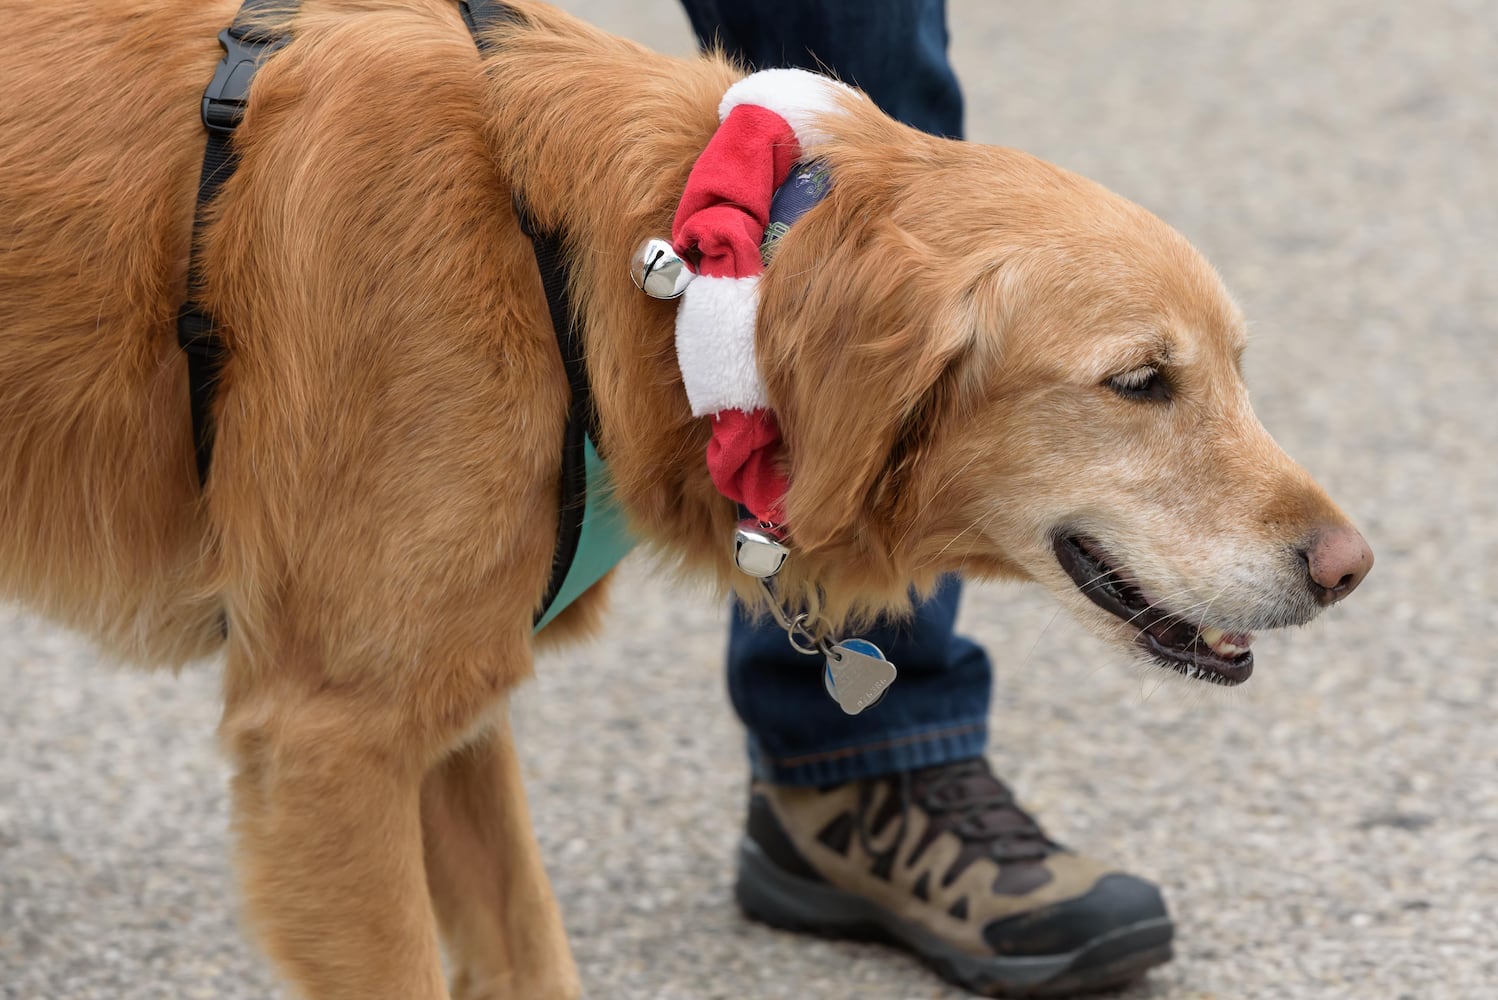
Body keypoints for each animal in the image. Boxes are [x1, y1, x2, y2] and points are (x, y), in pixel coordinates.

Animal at [0, 1, 1372, 999]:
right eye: (1140, 381)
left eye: (1236, 367)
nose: (1352, 567)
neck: (606, 264)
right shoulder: (331, 737)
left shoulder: (441, 708)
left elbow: (526, 947)